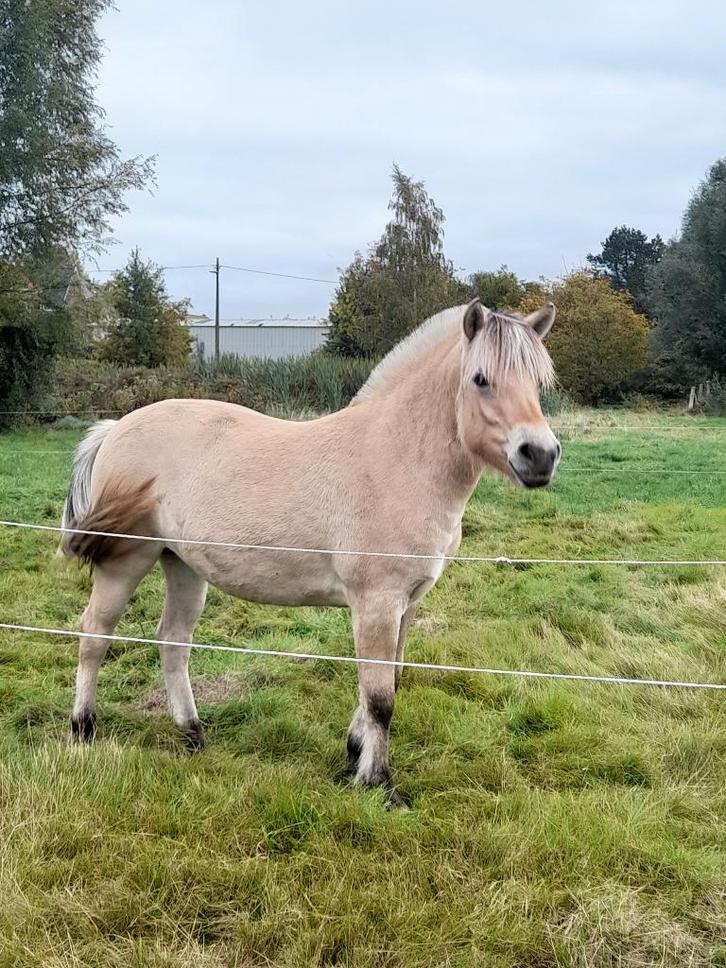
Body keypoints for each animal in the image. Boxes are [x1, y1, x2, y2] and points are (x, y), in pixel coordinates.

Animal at [60, 298, 560, 805]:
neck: (395, 459)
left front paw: (354, 756)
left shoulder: (407, 605)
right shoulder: (376, 604)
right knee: (94, 634)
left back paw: (192, 734)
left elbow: (388, 681)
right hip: (127, 561)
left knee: (173, 641)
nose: (540, 455)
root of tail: (115, 428)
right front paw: (380, 785)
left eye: (540, 382)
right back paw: (83, 730)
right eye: (480, 379)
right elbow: (380, 697)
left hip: (181, 563)